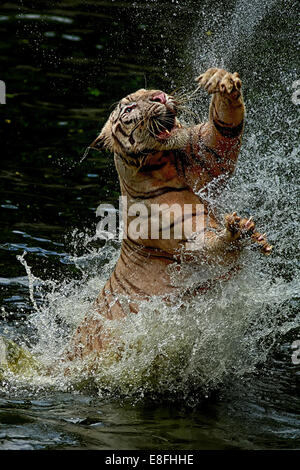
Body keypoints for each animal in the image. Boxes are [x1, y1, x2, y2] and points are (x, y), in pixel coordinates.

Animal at [67, 68, 272, 358]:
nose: (160, 96)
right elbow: (212, 247)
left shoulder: (209, 150)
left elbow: (225, 127)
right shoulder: (187, 238)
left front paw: (221, 81)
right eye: (129, 108)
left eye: (150, 91)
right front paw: (236, 232)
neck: (166, 163)